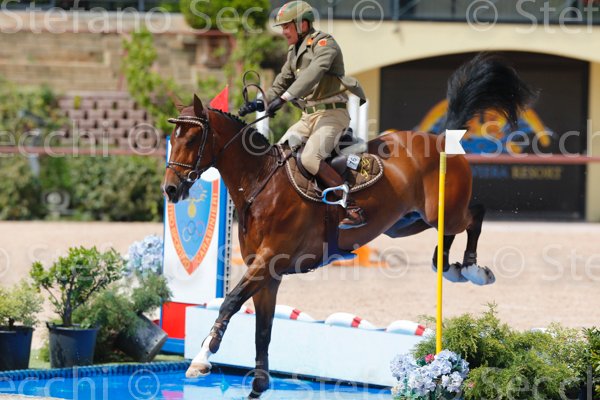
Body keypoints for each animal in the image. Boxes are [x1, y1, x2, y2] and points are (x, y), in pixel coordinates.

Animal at [162, 53, 536, 398]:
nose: (170, 189)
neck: (260, 183)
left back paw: (472, 270)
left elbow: (230, 302)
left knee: (474, 216)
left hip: (443, 211)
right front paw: (258, 383)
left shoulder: (268, 261)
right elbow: (262, 330)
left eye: (192, 138)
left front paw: (202, 359)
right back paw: (452, 268)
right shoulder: (269, 273)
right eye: (172, 136)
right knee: (447, 239)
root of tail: (441, 140)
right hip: (406, 222)